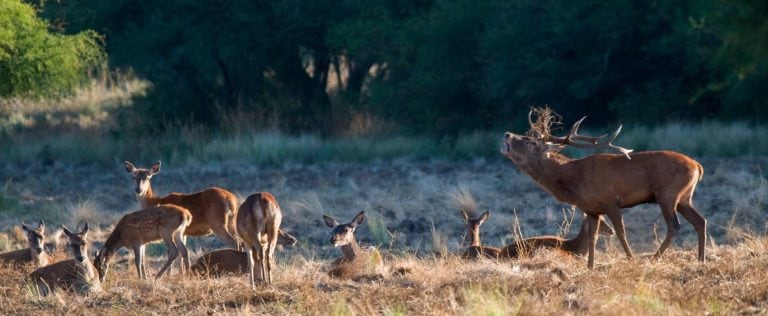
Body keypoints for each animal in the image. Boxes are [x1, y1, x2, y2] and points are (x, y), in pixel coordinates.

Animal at [500, 107, 704, 268]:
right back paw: (701, 259)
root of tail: (697, 166)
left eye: (531, 142)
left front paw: (631, 259)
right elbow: (593, 237)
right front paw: (590, 267)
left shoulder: (611, 201)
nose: (507, 134)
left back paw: (655, 258)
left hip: (668, 193)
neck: (574, 181)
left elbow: (621, 232)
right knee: (700, 221)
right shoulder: (591, 209)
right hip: (684, 197)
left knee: (674, 226)